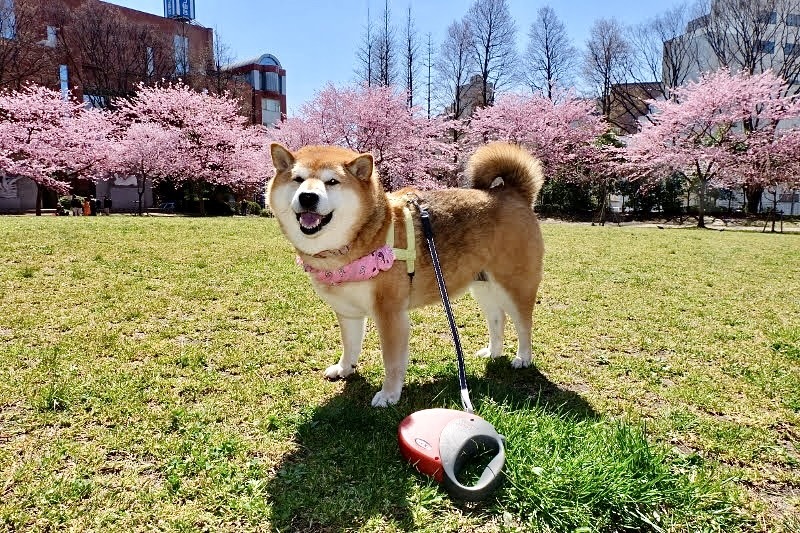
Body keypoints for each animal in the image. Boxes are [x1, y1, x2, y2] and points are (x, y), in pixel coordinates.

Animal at [268, 142, 544, 408]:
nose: (307, 197)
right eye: (298, 179)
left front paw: (389, 395)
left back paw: (522, 358)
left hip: (515, 284)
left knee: (524, 324)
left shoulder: (390, 314)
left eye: (332, 182)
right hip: (483, 285)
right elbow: (350, 345)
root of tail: (513, 192)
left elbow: (391, 361)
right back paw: (493, 352)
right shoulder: (348, 311)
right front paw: (345, 368)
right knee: (497, 319)